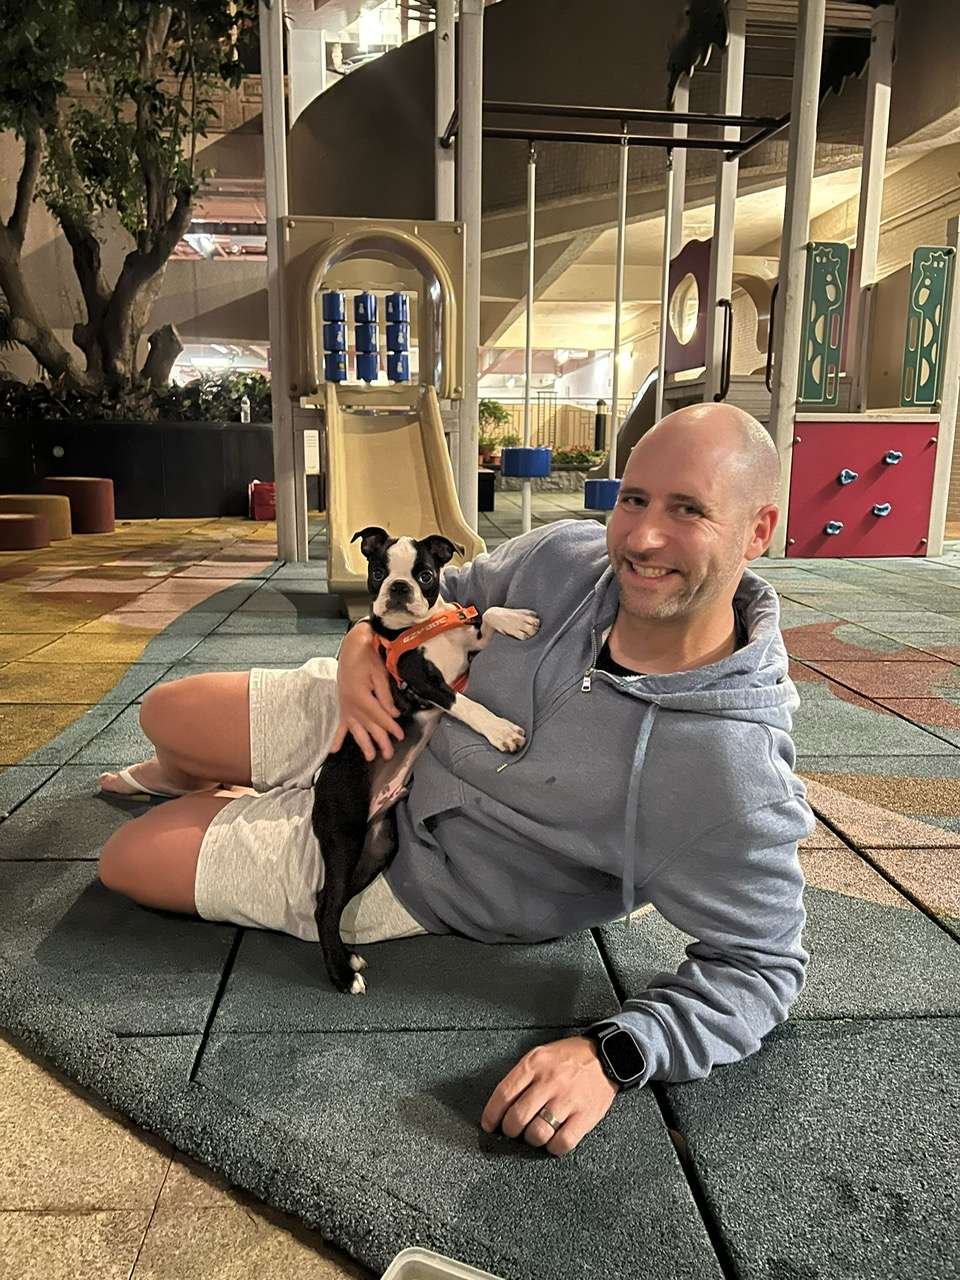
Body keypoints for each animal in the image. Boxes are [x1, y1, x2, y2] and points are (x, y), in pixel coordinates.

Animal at [311, 526, 540, 994]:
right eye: (377, 572)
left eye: (426, 575)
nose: (399, 588)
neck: (423, 631)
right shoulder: (426, 684)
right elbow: (466, 704)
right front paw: (502, 731)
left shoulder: (469, 643)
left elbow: (487, 614)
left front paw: (516, 620)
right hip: (343, 835)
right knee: (324, 905)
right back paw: (341, 975)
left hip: (378, 846)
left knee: (331, 899)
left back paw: (348, 957)